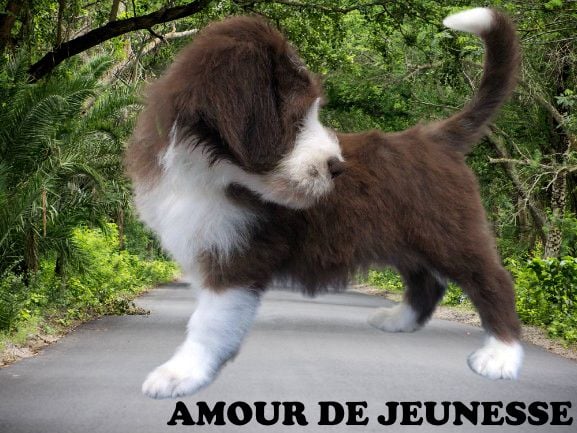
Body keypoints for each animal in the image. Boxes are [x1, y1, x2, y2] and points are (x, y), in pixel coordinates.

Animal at [125, 7, 523, 399]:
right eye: (297, 116)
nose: (337, 167)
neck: (209, 172)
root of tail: (436, 137)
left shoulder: (239, 256)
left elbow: (209, 320)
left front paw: (180, 373)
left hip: (451, 232)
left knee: (493, 281)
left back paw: (501, 355)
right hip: (408, 237)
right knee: (425, 281)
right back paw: (398, 320)